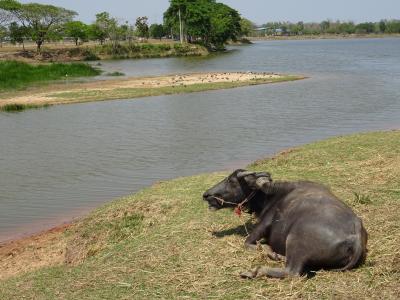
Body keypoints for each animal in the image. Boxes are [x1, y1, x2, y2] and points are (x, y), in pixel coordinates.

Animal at [203, 169, 368, 278]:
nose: (206, 194)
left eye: (231, 181)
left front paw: (271, 253)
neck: (272, 196)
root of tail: (355, 236)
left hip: (295, 240)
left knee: (292, 272)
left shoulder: (264, 224)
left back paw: (255, 271)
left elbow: (248, 242)